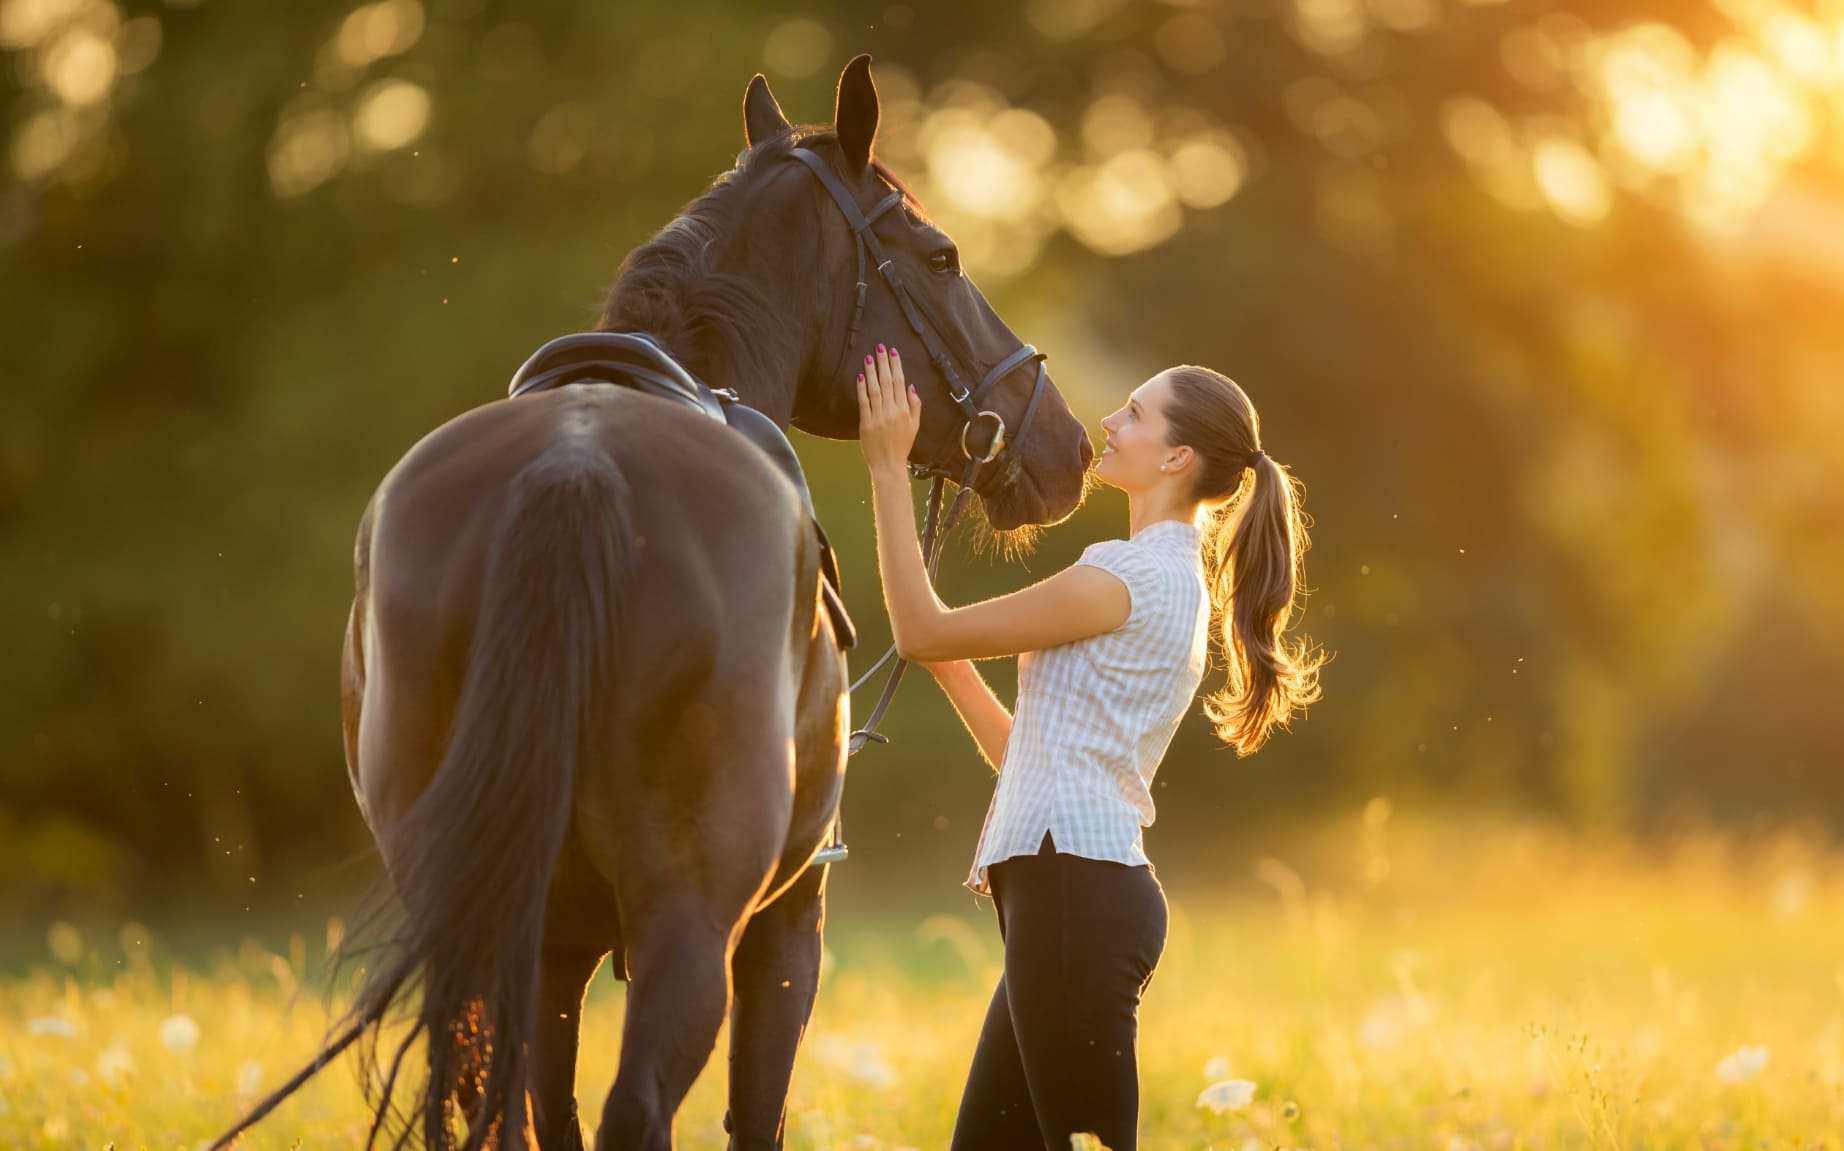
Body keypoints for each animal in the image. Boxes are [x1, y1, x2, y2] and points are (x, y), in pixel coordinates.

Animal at [219, 56, 1091, 1151]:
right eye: (940, 256)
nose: (1067, 445)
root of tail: (575, 465)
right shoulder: (786, 923)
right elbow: (749, 1114)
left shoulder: (553, 951)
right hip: (690, 923)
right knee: (637, 1107)